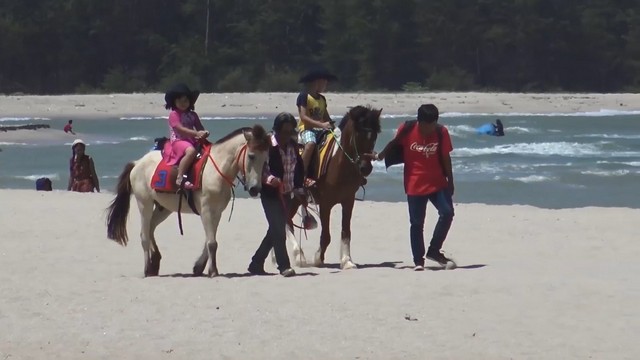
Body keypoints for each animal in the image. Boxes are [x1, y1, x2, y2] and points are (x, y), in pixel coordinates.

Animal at [107, 125, 270, 278]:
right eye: (251, 156)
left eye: (265, 159)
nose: (255, 189)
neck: (215, 170)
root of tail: (137, 163)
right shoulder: (206, 210)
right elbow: (212, 242)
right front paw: (213, 271)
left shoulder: (217, 212)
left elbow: (210, 240)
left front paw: (199, 267)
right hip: (144, 204)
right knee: (144, 235)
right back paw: (147, 268)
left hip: (163, 208)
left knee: (151, 228)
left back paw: (155, 262)